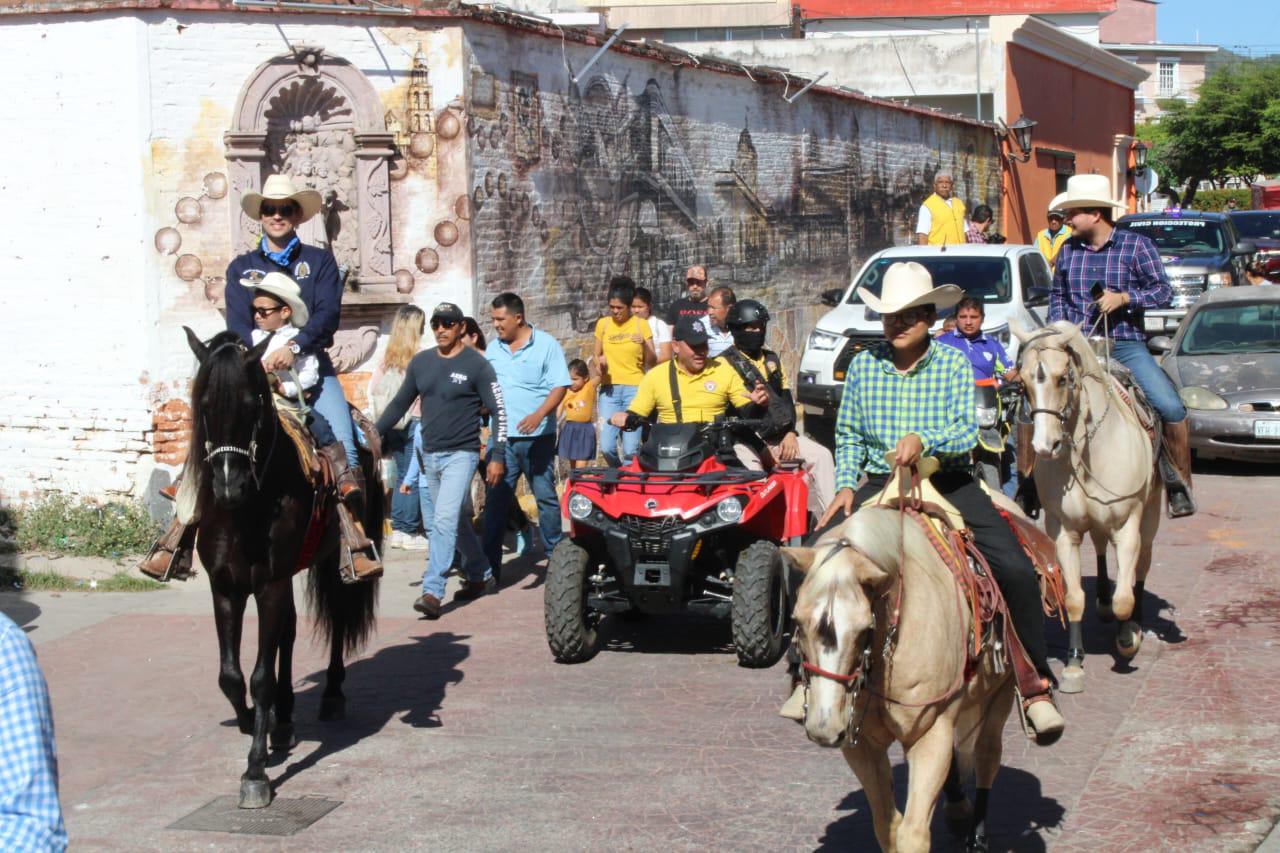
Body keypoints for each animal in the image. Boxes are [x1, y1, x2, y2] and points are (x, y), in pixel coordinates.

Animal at [180, 327, 378, 809]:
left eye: (252, 404)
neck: (245, 511)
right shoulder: (227, 588)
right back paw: (284, 719)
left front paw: (255, 771)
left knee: (336, 621)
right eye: (204, 405)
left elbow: (259, 678)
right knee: (286, 633)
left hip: (328, 564)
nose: (228, 485)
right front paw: (260, 724)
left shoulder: (268, 583)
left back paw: (331, 693)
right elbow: (232, 677)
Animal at [783, 504, 1013, 850]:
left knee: (988, 755)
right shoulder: (860, 743)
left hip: (1001, 695)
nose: (824, 729)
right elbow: (887, 825)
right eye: (796, 621)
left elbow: (912, 834)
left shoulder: (930, 731)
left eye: (864, 628)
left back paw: (977, 835)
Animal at [1013, 320, 1167, 691]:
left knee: (1142, 566)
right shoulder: (1063, 531)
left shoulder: (1127, 525)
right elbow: (1073, 599)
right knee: (1098, 546)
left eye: (1062, 378)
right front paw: (1073, 663)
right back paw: (1103, 603)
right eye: (1023, 382)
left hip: (1150, 516)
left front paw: (1128, 638)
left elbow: (1126, 597)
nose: (1045, 446)